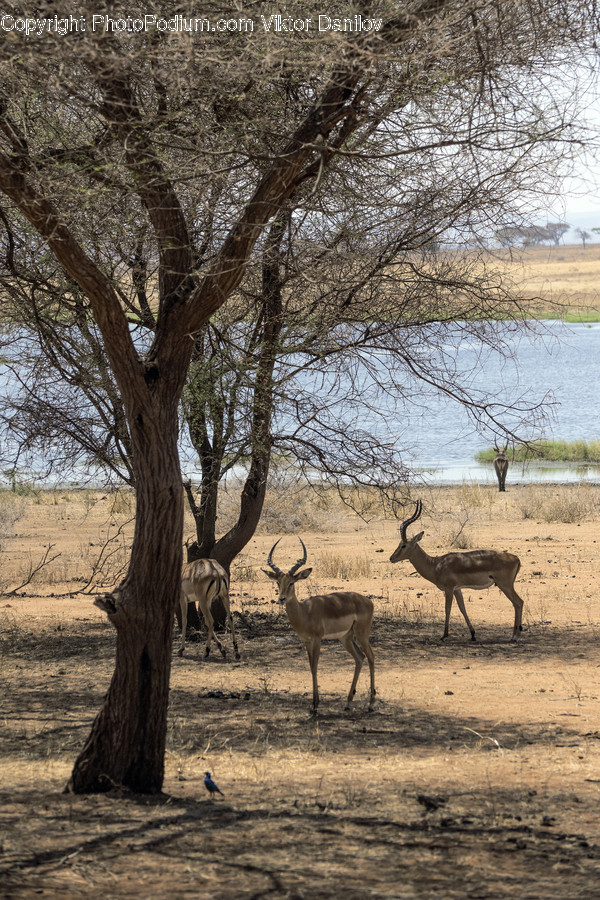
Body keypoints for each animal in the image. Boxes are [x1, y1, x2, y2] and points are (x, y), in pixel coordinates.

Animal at [263, 538, 376, 715]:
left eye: (292, 582)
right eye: (277, 582)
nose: (281, 599)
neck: (305, 612)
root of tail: (368, 601)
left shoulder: (317, 639)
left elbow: (315, 667)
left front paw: (315, 705)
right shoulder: (306, 641)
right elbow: (310, 667)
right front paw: (313, 704)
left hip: (362, 634)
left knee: (371, 657)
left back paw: (371, 704)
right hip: (346, 638)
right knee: (360, 658)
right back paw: (348, 703)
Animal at [390, 500, 523, 642]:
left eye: (403, 545)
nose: (391, 558)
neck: (436, 564)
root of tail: (516, 558)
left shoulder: (449, 589)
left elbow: (447, 608)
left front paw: (444, 635)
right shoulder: (457, 589)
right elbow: (462, 608)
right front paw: (472, 634)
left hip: (505, 585)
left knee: (518, 602)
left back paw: (515, 636)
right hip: (506, 585)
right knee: (517, 603)